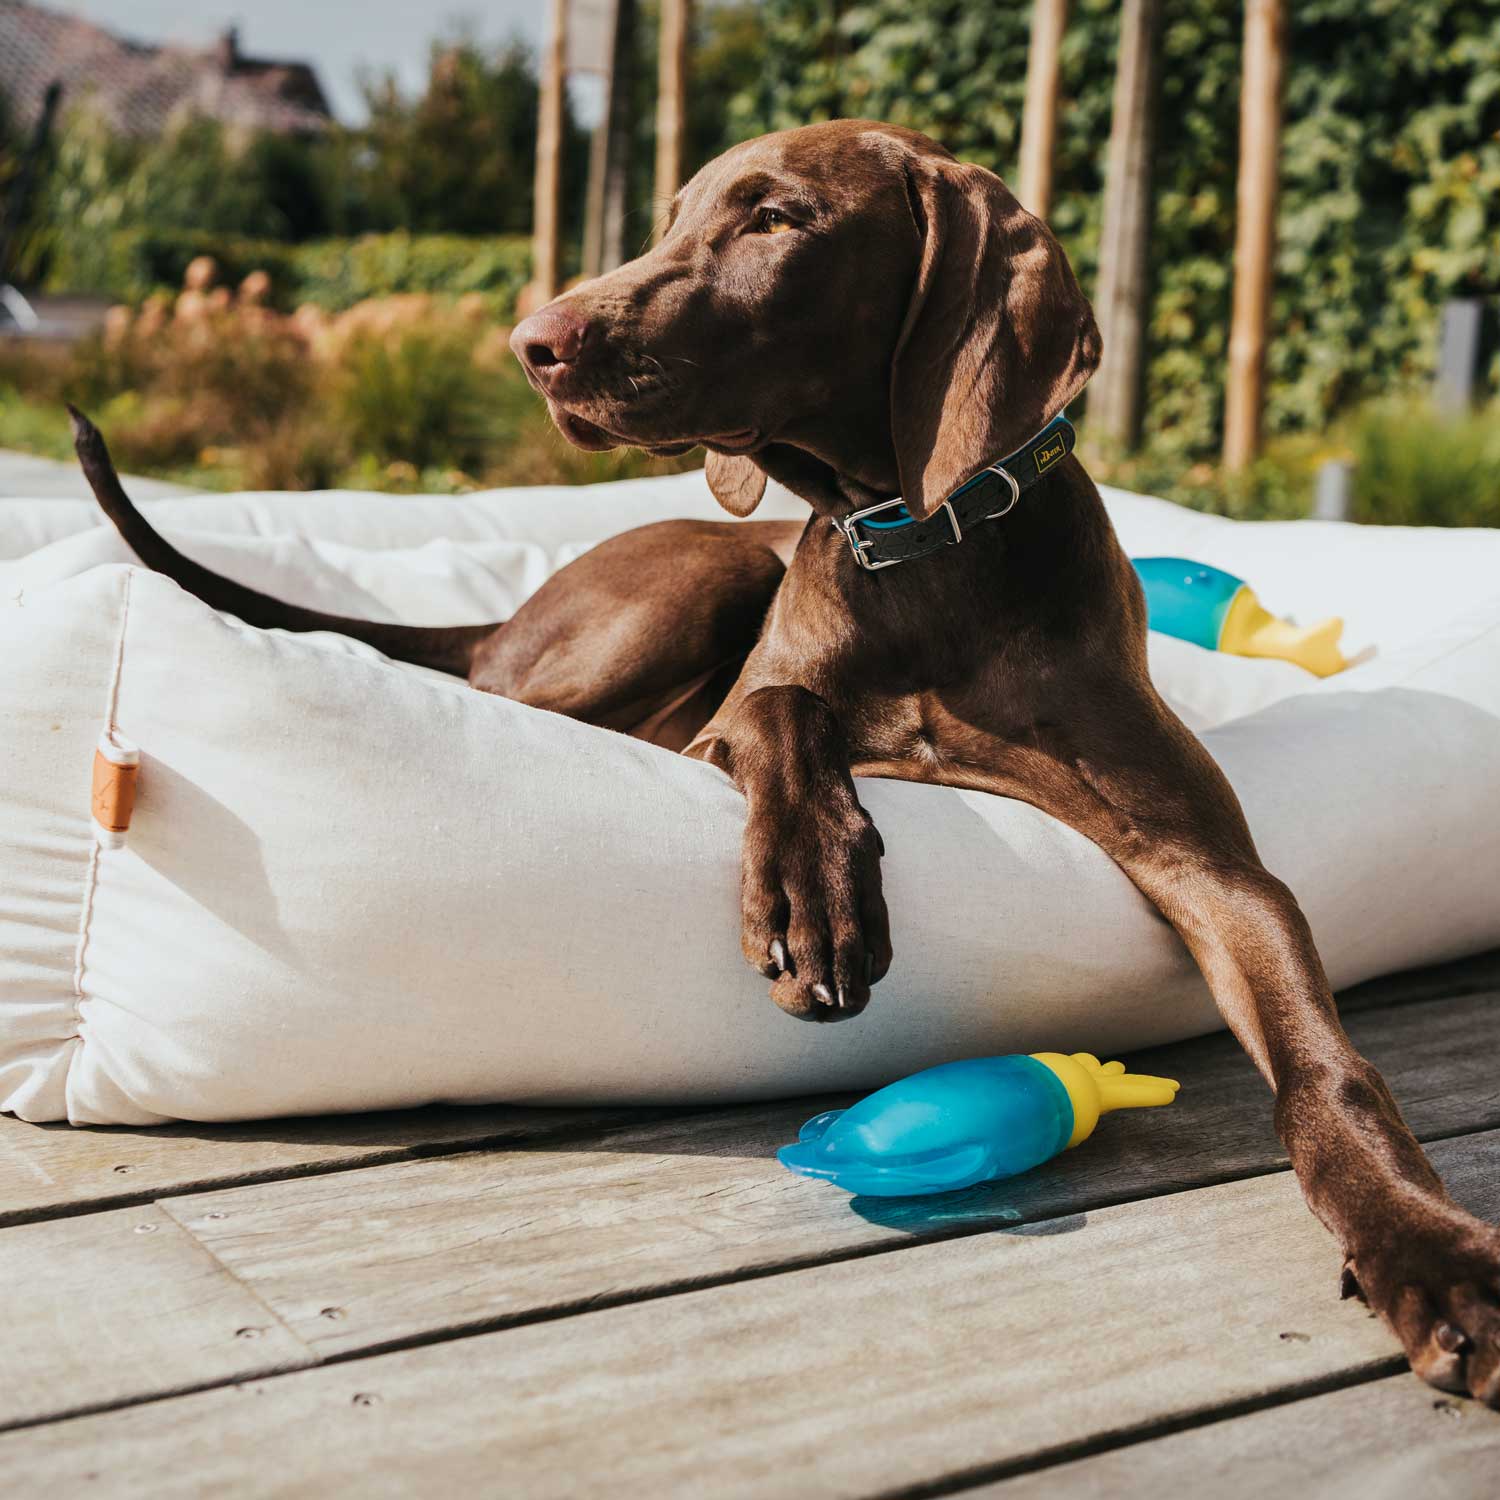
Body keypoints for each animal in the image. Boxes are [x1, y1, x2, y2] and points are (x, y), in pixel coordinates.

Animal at [70, 120, 1500, 1404]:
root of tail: (513, 609)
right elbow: (786, 713)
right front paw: (818, 893)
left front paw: (1426, 1254)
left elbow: (1328, 1073)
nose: (535, 343)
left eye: (775, 219)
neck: (920, 551)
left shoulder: (1213, 865)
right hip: (694, 581)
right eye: (673, 218)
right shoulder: (733, 720)